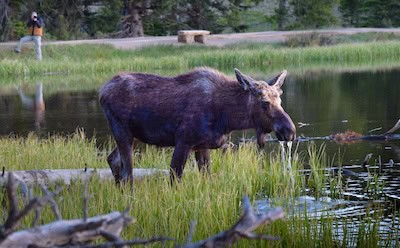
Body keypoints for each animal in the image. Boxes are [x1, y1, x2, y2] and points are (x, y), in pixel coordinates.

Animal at [98, 67, 296, 185]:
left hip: (135, 136)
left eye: (279, 100)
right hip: (122, 131)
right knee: (127, 173)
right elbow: (174, 178)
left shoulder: (202, 146)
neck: (228, 117)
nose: (290, 131)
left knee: (113, 160)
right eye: (264, 103)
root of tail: (102, 92)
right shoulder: (183, 141)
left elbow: (206, 177)